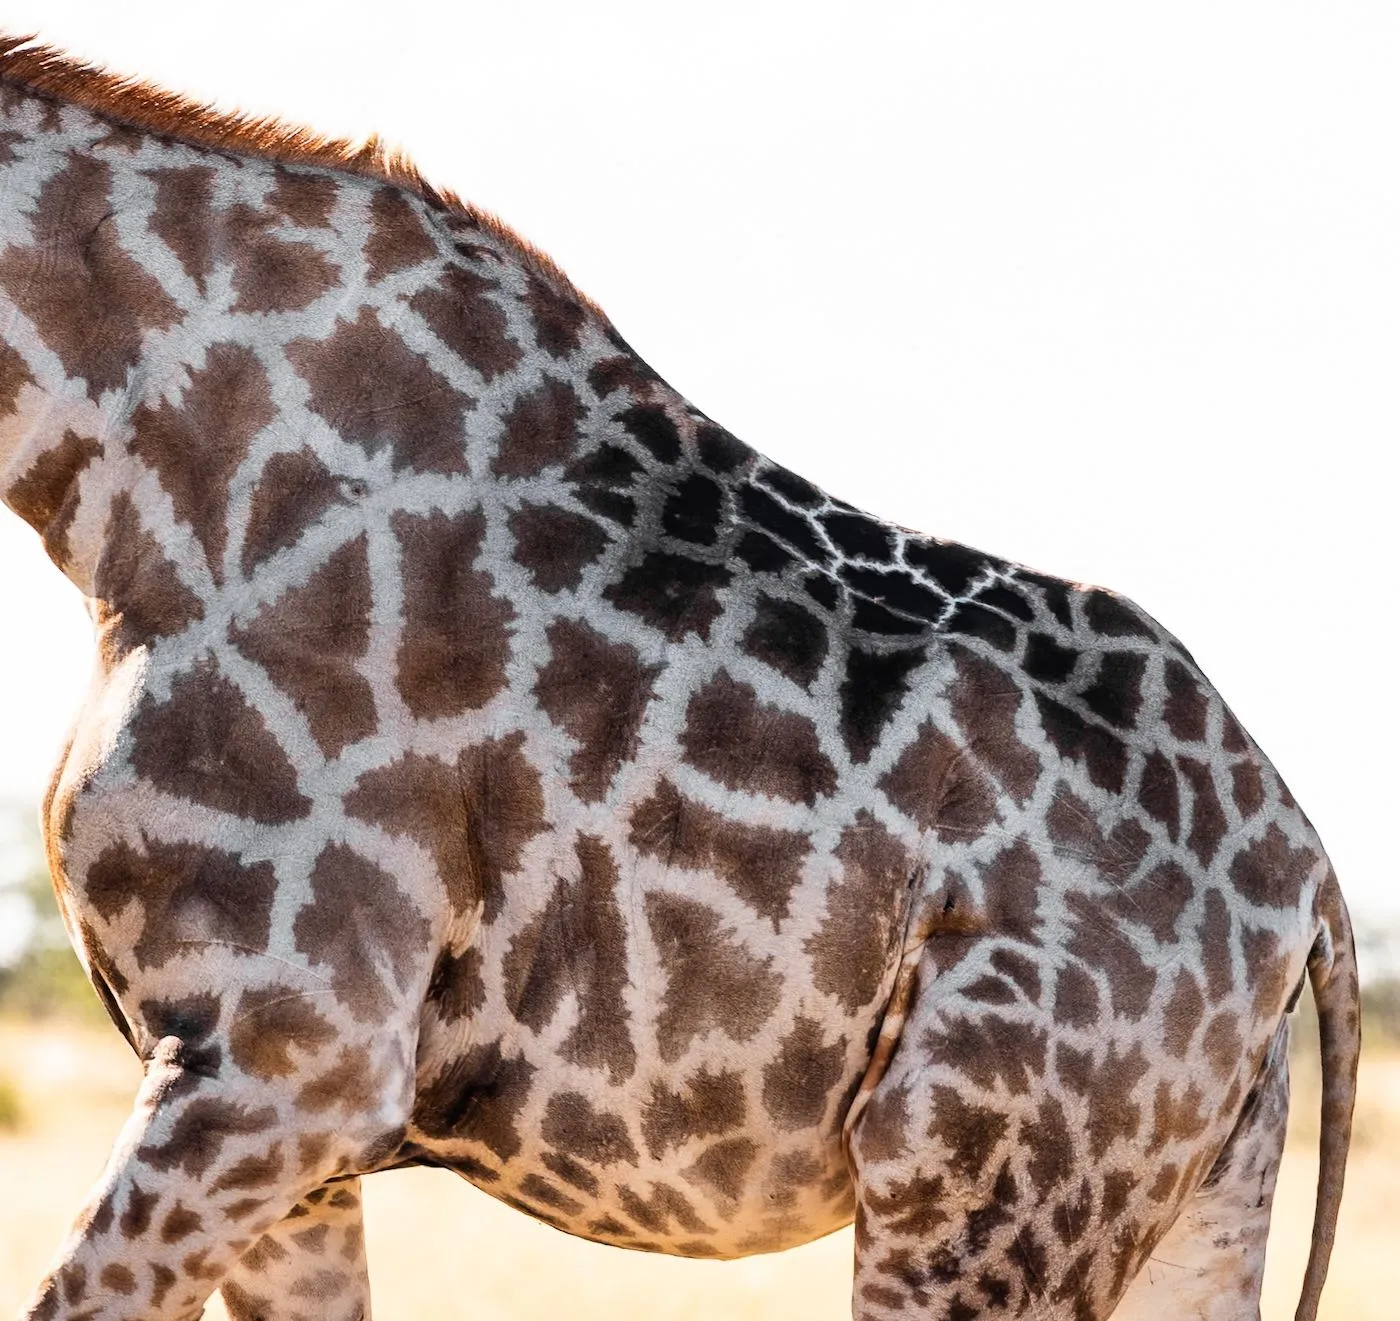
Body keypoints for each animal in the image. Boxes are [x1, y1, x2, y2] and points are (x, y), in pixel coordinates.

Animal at [0, 34, 1358, 1321]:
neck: (130, 487)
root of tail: (1307, 886)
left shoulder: (284, 1053)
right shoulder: (270, 1100)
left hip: (980, 1187)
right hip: (1190, 1191)